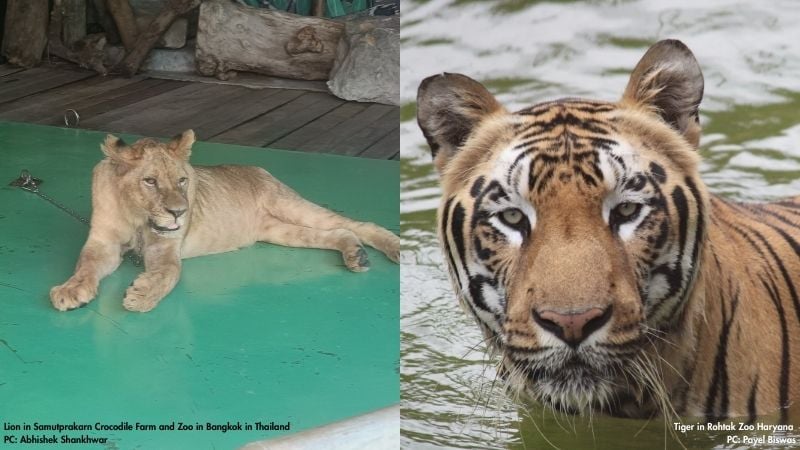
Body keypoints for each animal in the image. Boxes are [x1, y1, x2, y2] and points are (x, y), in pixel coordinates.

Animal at [50, 130, 399, 312]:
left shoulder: (165, 249)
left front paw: (142, 295)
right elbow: (86, 265)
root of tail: (259, 169)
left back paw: (392, 248)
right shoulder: (104, 243)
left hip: (289, 204)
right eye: (150, 181)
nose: (179, 212)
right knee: (337, 232)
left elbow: (169, 274)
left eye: (182, 181)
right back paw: (355, 255)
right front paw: (71, 290)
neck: (139, 217)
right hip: (278, 231)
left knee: (359, 225)